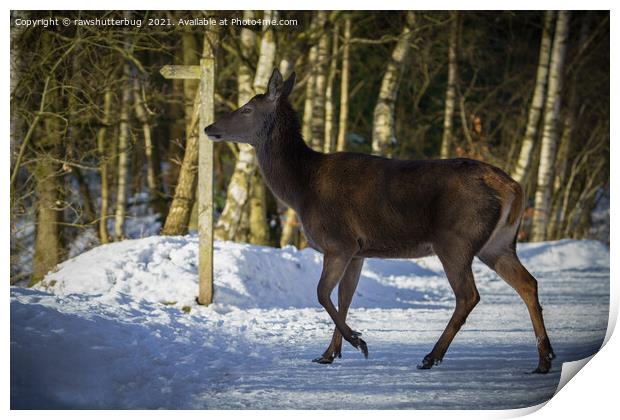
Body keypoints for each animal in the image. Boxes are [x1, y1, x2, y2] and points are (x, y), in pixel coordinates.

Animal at [205, 69, 556, 374]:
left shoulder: (338, 241)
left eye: (247, 109)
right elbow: (344, 297)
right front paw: (329, 353)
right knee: (528, 283)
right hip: (498, 243)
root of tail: (514, 188)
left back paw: (431, 356)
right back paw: (544, 358)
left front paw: (356, 341)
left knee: (468, 295)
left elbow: (321, 293)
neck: (301, 189)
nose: (209, 128)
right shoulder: (358, 251)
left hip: (456, 238)